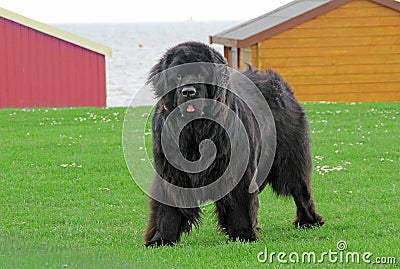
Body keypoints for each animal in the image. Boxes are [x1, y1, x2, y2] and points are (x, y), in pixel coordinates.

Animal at [145, 41, 324, 245]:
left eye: (200, 74)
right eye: (178, 75)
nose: (188, 91)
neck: (196, 129)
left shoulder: (237, 167)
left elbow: (239, 200)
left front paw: (243, 234)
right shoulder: (171, 171)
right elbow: (168, 207)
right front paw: (162, 237)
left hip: (290, 157)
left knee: (300, 188)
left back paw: (308, 220)